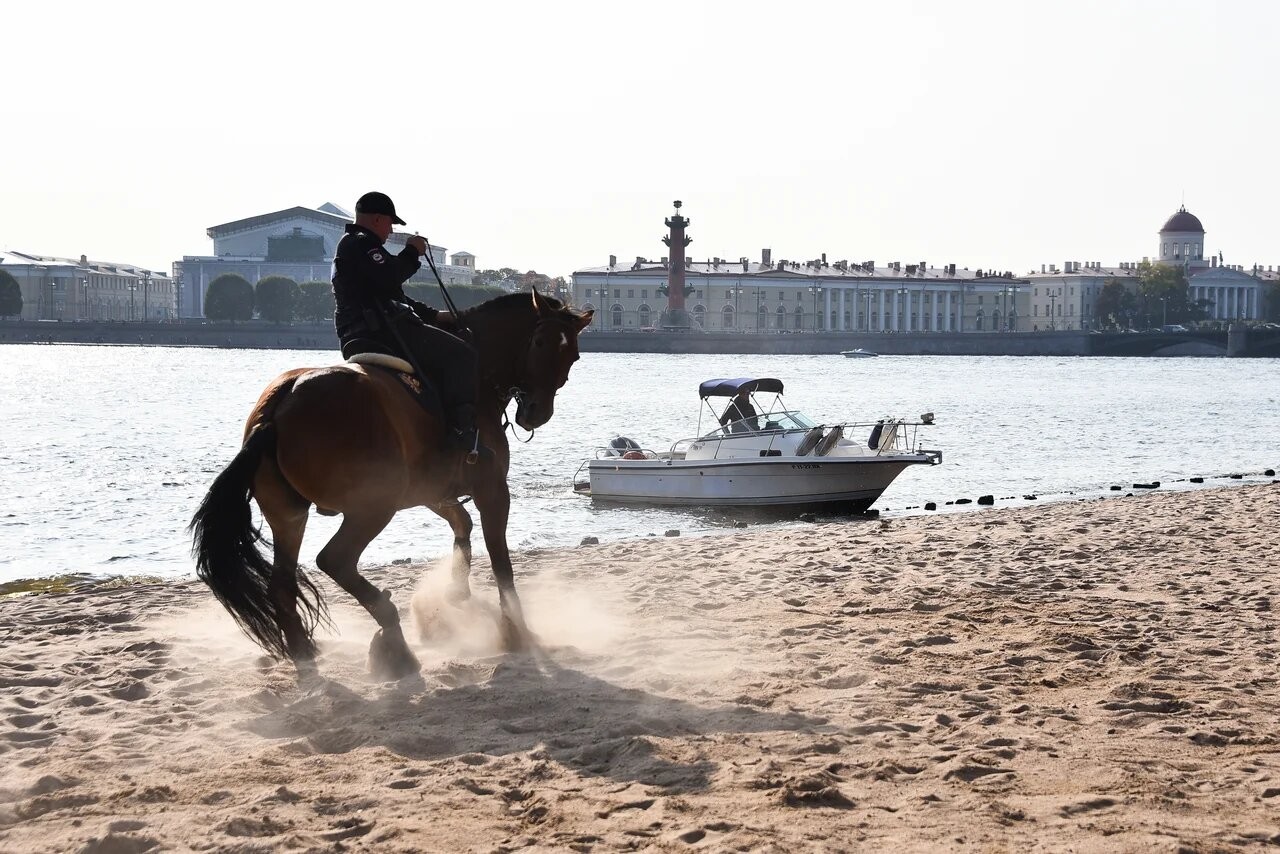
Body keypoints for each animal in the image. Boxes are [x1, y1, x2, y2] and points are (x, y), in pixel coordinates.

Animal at [188, 290, 593, 676]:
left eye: (572, 355)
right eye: (539, 343)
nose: (536, 413)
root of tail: (282, 402)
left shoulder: (432, 491)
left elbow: (463, 526)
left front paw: (456, 590)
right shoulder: (492, 490)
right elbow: (501, 564)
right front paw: (515, 631)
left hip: (290, 516)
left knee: (283, 584)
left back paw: (308, 651)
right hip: (373, 508)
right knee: (334, 560)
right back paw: (393, 639)